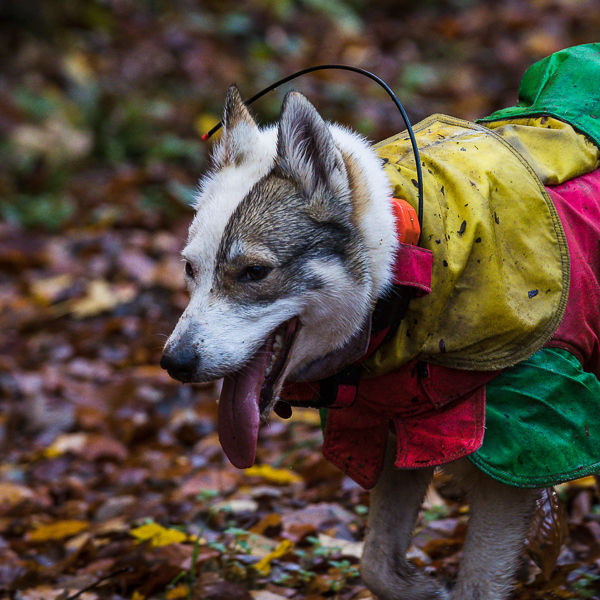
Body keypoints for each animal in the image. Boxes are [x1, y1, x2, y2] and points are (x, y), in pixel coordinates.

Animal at [159, 82, 600, 596]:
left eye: (254, 272)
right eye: (190, 269)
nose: (174, 363)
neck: (406, 273)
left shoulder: (517, 457)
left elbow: (477, 583)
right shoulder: (394, 435)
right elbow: (376, 564)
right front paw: (422, 589)